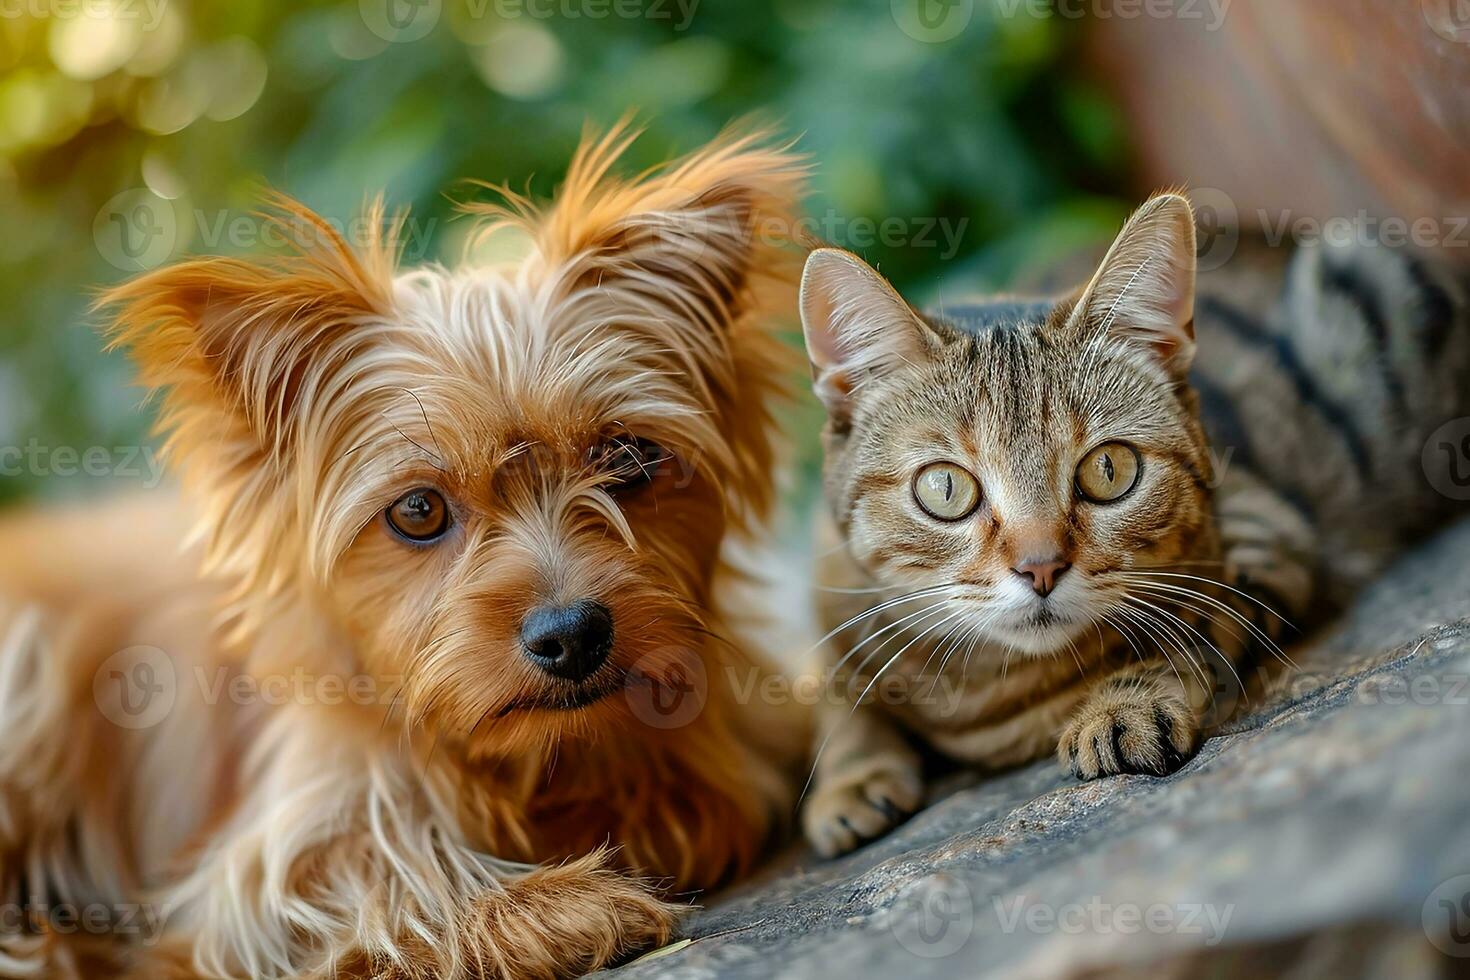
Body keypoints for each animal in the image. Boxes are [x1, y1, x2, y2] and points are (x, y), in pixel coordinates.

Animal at [0, 126, 805, 975]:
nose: (573, 635)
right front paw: (556, 908)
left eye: (628, 459)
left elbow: (710, 795)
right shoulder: (285, 848)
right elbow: (366, 872)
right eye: (418, 511)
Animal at [793, 193, 1470, 858]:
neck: (991, 690)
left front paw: (1122, 706)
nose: (1041, 567)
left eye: (1109, 470)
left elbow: (1187, 631)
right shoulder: (826, 599)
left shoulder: (1262, 535)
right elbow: (836, 696)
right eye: (945, 488)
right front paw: (851, 777)